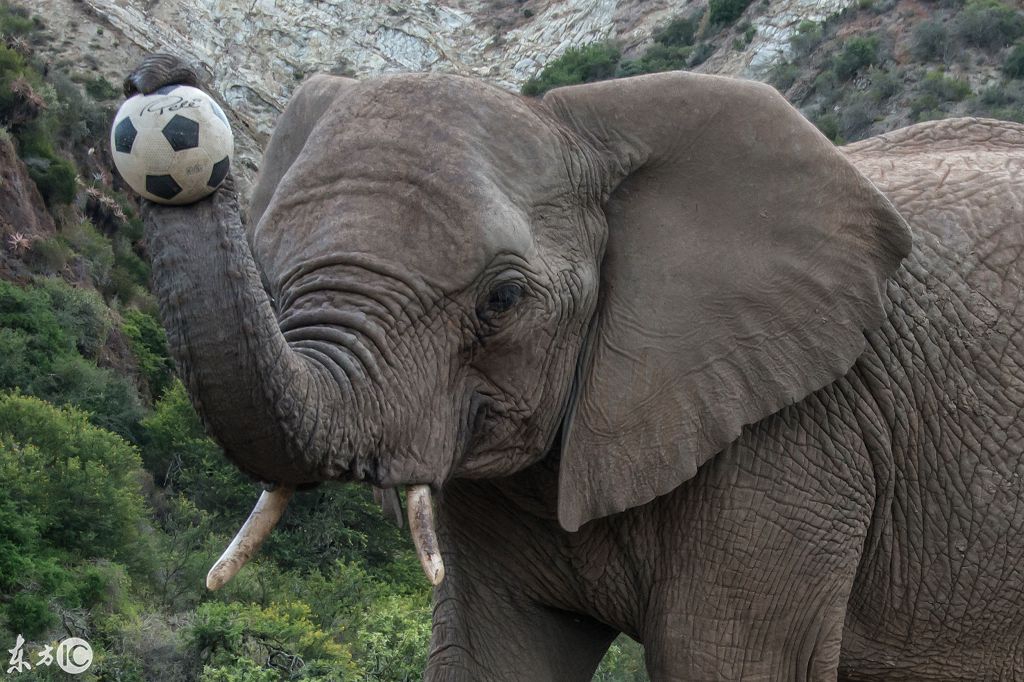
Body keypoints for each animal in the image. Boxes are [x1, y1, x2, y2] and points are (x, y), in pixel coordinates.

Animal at [125, 55, 1024, 675]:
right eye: (268, 275)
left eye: (502, 299)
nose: (160, 78)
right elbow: (491, 653)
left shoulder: (800, 437)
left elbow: (722, 658)